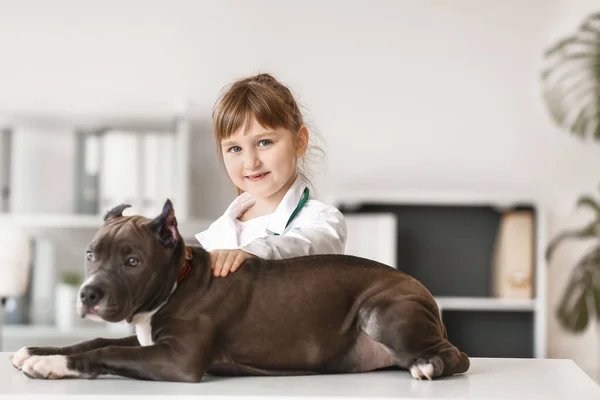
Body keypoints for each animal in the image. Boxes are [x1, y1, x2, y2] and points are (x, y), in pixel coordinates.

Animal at [8, 200, 468, 382]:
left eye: (132, 261)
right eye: (91, 254)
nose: (87, 294)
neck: (177, 282)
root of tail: (421, 289)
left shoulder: (178, 359)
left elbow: (104, 351)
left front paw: (51, 365)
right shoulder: (145, 338)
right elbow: (92, 340)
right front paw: (36, 352)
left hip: (380, 311)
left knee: (456, 357)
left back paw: (428, 366)